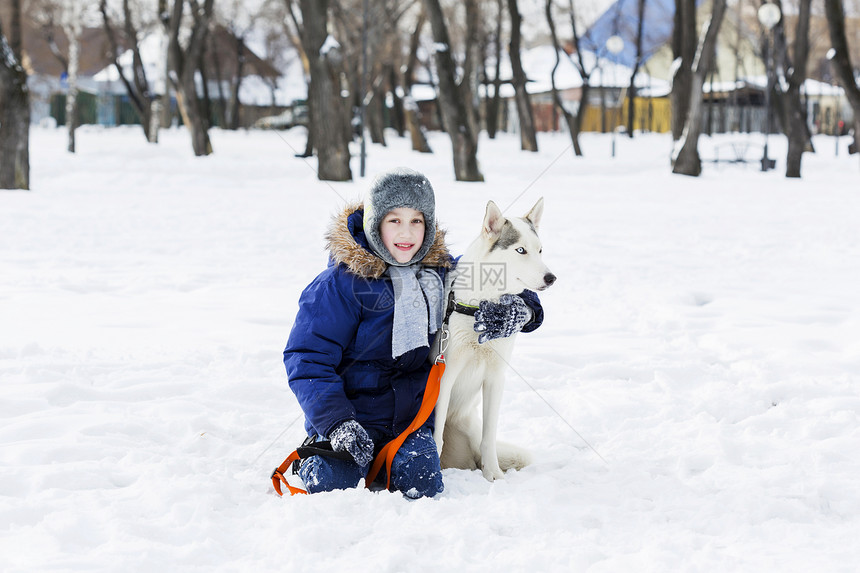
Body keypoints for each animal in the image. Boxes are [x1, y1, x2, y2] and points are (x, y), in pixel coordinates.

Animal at [434, 197, 556, 478]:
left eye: (540, 250)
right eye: (520, 250)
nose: (551, 278)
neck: (481, 306)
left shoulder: (495, 378)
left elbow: (488, 437)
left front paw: (494, 476)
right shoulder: (445, 376)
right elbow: (435, 436)